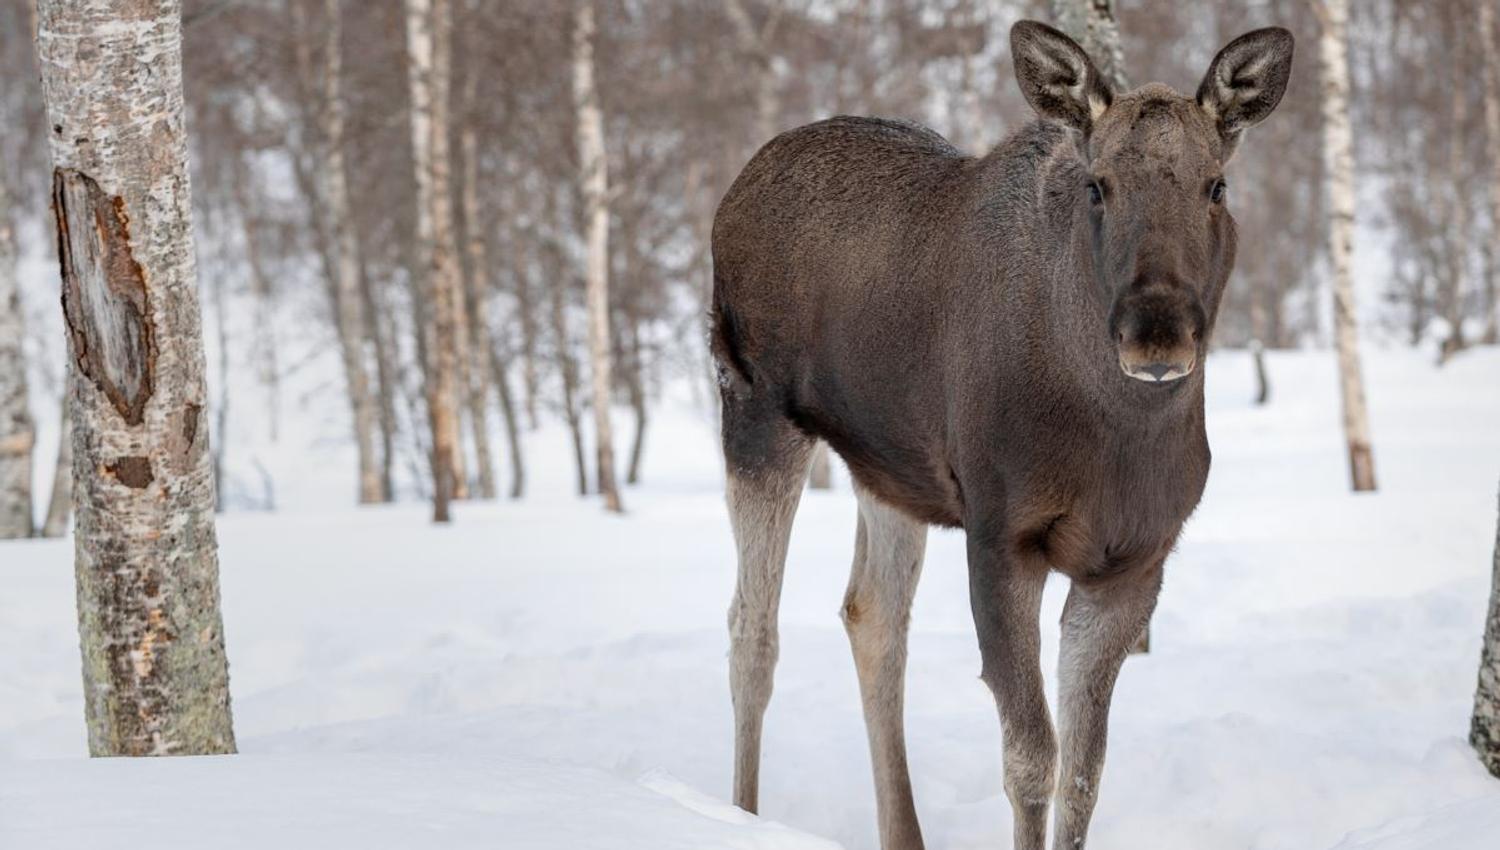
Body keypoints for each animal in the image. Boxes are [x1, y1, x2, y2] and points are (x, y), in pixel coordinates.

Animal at [710, 19, 1293, 850]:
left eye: (1217, 185)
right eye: (1097, 185)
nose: (1157, 333)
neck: (1118, 433)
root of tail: (739, 185)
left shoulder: (1133, 560)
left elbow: (1084, 772)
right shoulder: (1001, 535)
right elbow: (1030, 758)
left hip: (889, 467)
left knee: (872, 617)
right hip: (757, 411)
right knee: (752, 632)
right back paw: (740, 815)